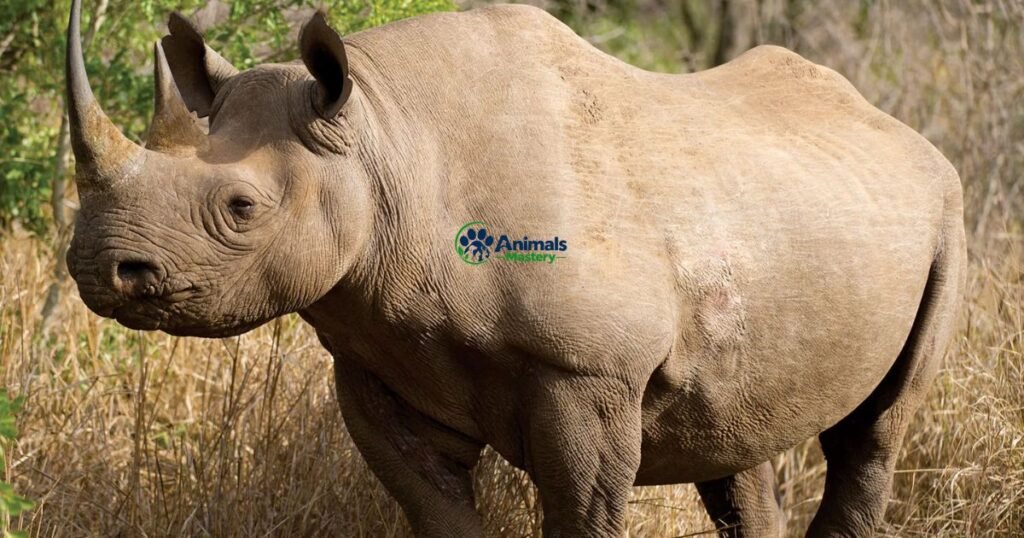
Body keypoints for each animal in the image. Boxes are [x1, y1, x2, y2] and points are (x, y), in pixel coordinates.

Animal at [63, 0, 966, 535]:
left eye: (242, 208)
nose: (100, 269)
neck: (385, 139)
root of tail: (895, 126)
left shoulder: (587, 370)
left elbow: (580, 510)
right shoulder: (378, 360)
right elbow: (436, 509)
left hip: (945, 215)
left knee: (874, 431)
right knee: (740, 442)